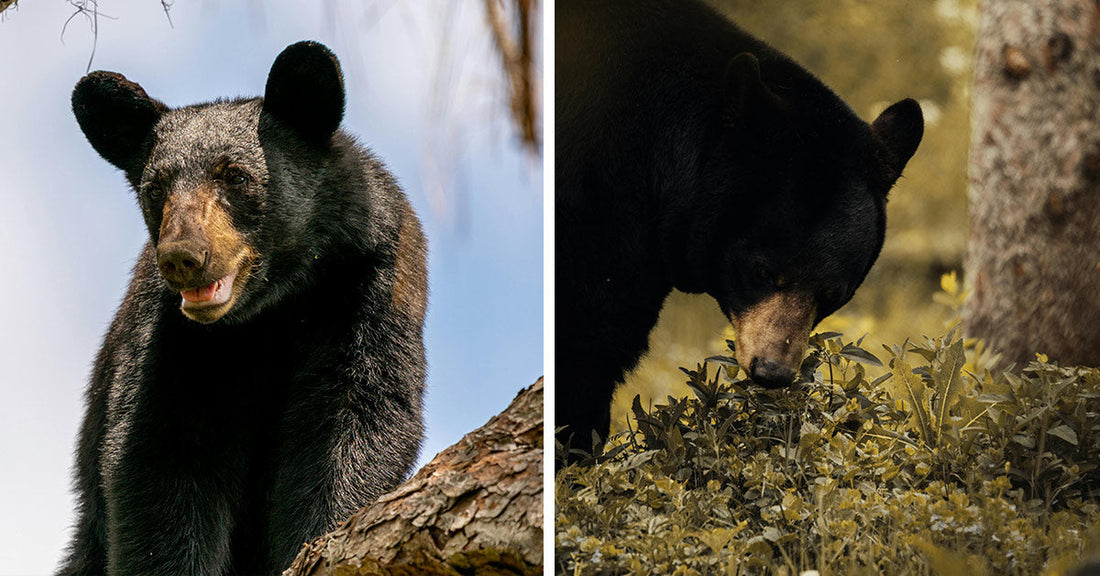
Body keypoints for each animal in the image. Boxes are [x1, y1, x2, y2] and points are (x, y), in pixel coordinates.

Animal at [59, 41, 427, 575]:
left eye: (235, 175)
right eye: (156, 188)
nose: (183, 257)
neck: (270, 309)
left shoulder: (368, 284)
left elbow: (355, 422)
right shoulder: (168, 334)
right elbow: (159, 460)